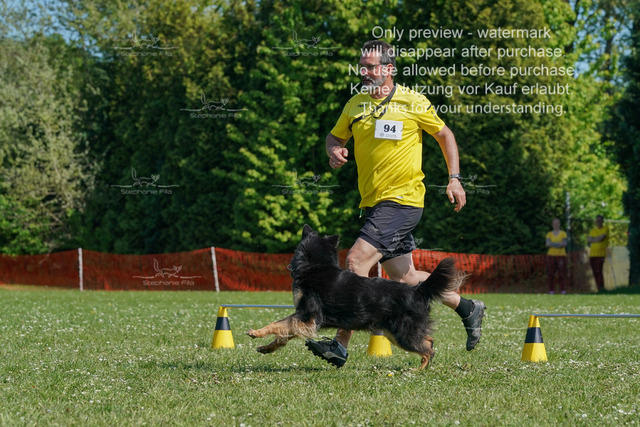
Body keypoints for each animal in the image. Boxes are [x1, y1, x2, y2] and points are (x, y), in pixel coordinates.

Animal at [247, 225, 464, 370]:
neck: (315, 266)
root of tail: (417, 289)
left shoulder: (307, 316)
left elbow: (278, 324)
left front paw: (256, 332)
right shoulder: (305, 321)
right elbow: (283, 334)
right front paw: (267, 348)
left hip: (402, 335)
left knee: (428, 351)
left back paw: (417, 371)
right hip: (394, 333)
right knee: (428, 340)